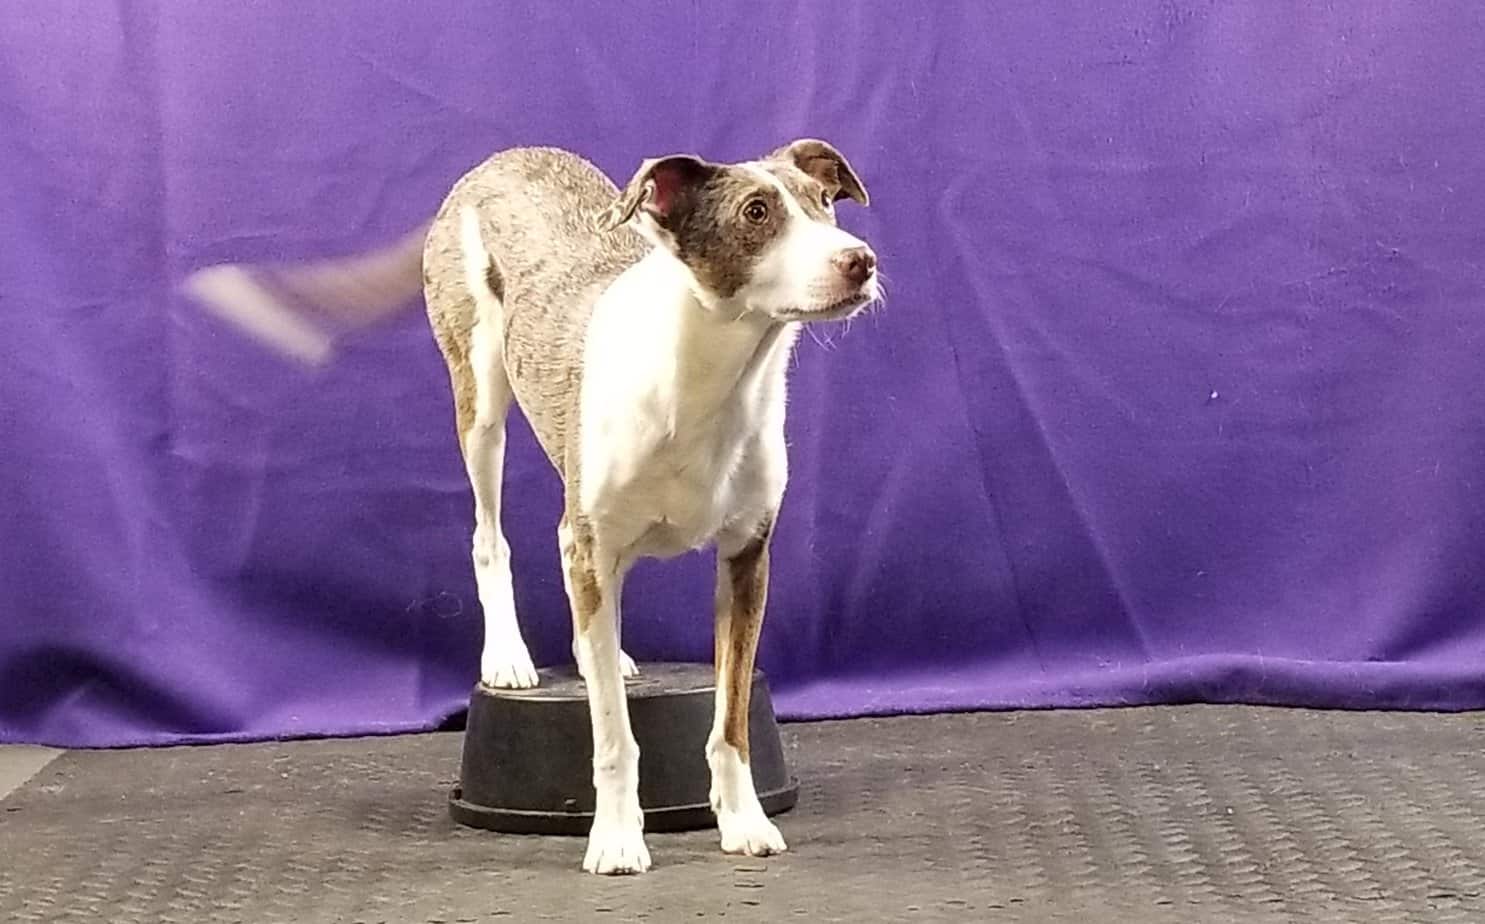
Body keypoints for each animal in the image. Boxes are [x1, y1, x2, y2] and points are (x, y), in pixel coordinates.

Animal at [418, 139, 873, 873]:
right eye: (755, 212)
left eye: (823, 202)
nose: (860, 260)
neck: (705, 384)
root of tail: (508, 157)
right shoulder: (591, 545)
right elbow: (612, 735)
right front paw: (616, 839)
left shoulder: (746, 558)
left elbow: (731, 720)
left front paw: (743, 821)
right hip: (480, 401)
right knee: (490, 536)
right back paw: (508, 658)